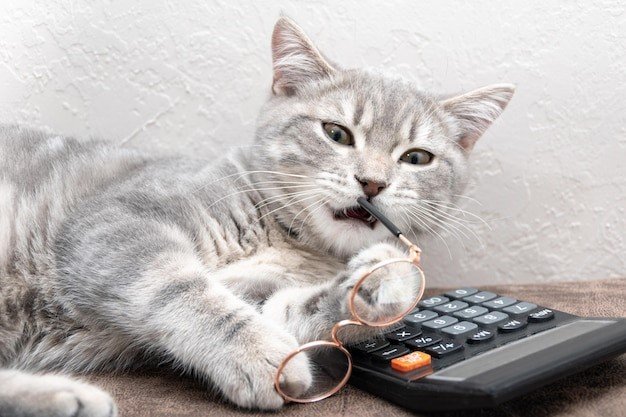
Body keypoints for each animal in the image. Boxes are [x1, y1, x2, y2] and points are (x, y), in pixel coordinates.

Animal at [0, 17, 512, 416]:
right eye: (336, 133)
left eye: (417, 158)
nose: (372, 182)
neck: (288, 239)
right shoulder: (115, 223)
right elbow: (185, 290)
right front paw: (260, 355)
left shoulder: (264, 293)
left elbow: (292, 311)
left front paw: (381, 283)